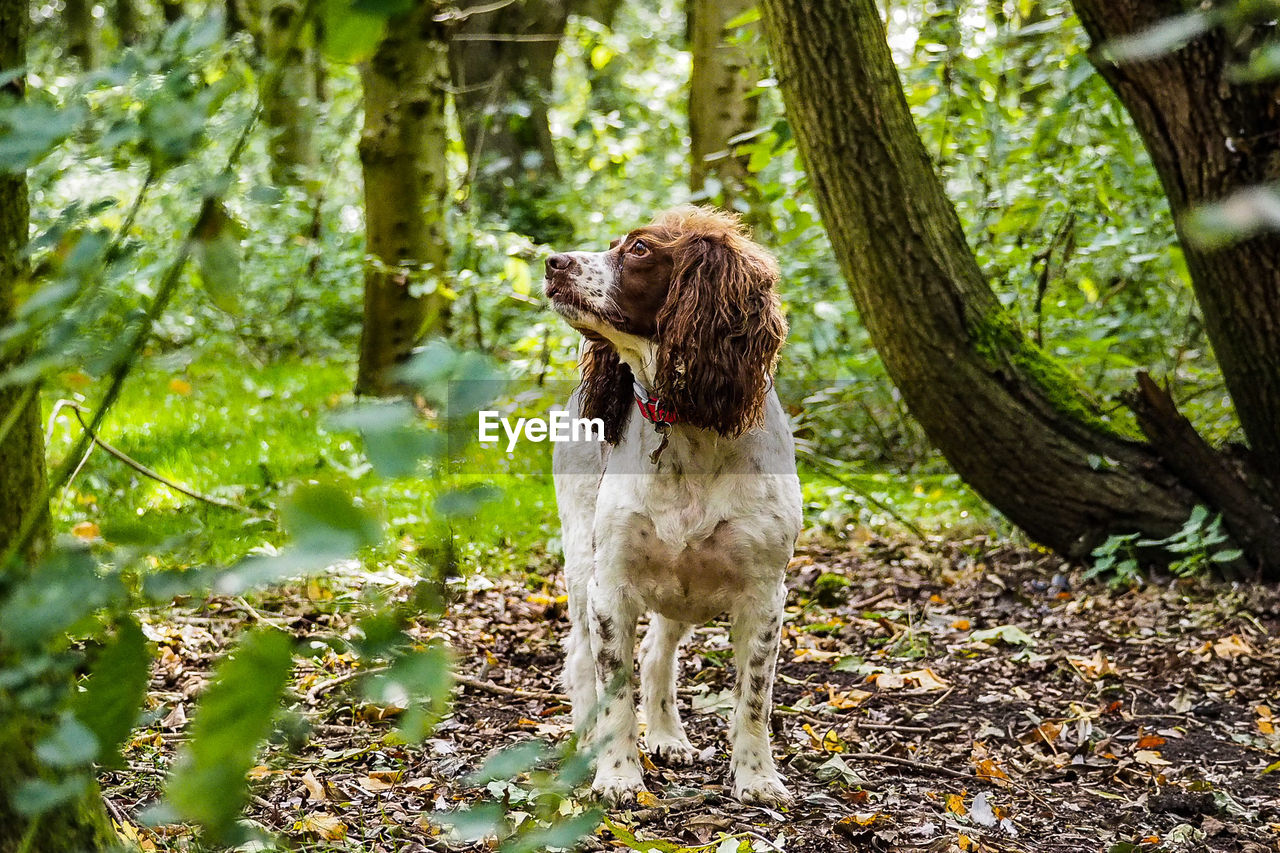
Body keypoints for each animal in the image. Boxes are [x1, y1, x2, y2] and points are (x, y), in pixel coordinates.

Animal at [545, 206, 803, 804]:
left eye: (639, 249)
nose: (551, 261)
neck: (687, 424)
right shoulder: (610, 586)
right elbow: (614, 693)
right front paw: (618, 776)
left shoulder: (764, 595)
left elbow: (754, 698)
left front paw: (757, 777)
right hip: (581, 565)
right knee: (581, 662)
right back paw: (587, 745)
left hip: (681, 591)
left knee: (657, 655)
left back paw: (666, 735)